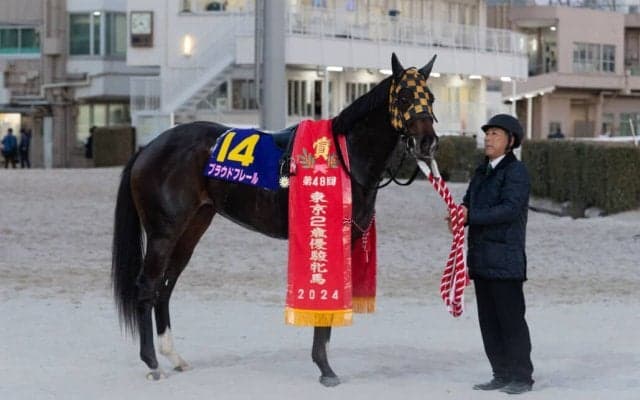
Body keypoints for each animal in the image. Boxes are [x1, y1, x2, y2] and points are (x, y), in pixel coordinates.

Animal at [111, 53, 439, 385]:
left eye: (430, 97)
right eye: (403, 96)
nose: (427, 143)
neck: (343, 156)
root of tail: (148, 148)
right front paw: (325, 367)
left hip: (192, 228)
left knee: (165, 287)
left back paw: (174, 357)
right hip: (163, 233)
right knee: (147, 287)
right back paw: (152, 362)